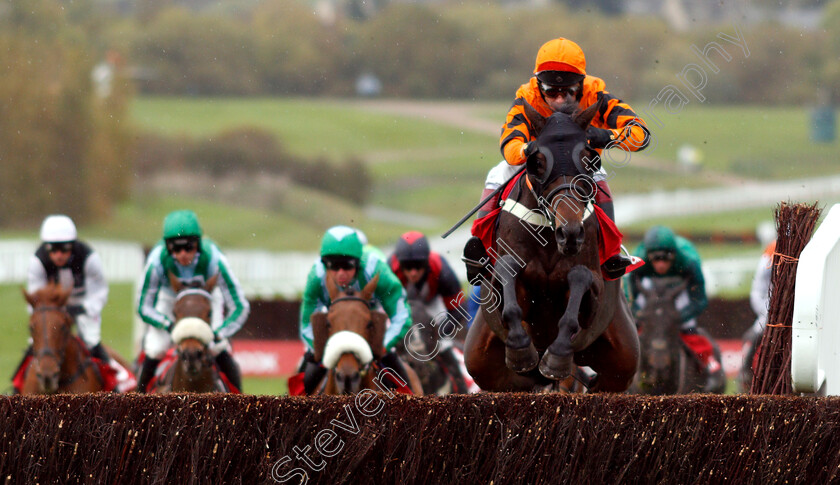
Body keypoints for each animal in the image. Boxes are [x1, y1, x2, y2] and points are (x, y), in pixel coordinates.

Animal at [466, 102, 636, 394]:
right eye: (537, 163)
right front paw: (521, 350)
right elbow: (508, 273)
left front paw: (556, 357)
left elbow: (579, 279)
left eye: (589, 161)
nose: (570, 233)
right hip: (481, 362)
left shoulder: (594, 291)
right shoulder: (504, 277)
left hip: (621, 362)